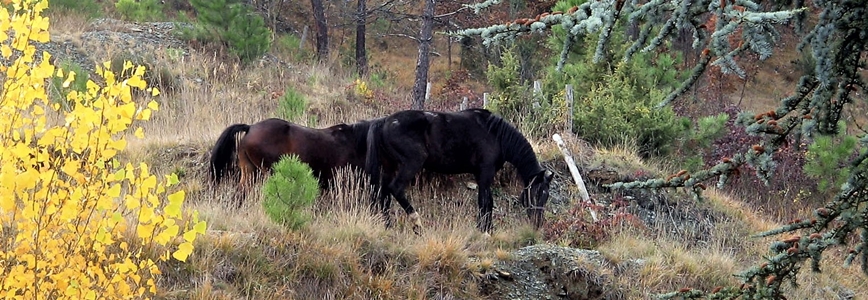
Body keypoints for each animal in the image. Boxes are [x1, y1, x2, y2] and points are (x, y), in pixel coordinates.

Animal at [362, 108, 552, 234]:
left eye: (546, 195)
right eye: (536, 192)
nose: (537, 223)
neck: (496, 135)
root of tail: (384, 122)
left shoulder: (480, 175)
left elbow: (484, 202)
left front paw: (484, 228)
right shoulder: (485, 174)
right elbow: (486, 202)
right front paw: (485, 230)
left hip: (389, 167)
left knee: (384, 193)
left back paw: (388, 225)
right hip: (410, 164)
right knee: (396, 189)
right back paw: (417, 223)